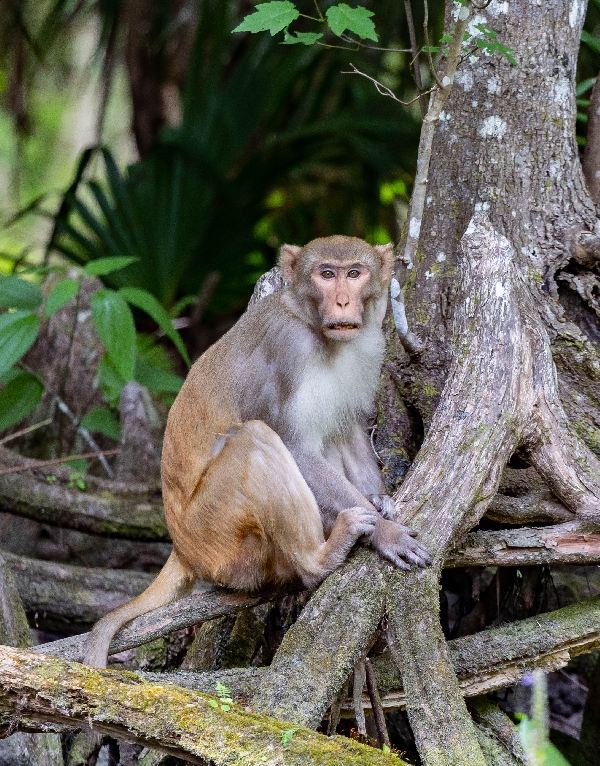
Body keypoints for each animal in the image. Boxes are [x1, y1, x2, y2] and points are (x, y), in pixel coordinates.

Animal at [84, 237, 432, 668]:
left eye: (355, 273)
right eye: (326, 274)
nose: (342, 302)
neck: (313, 328)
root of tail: (182, 549)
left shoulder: (369, 348)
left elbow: (346, 426)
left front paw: (379, 498)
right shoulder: (287, 347)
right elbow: (291, 442)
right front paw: (386, 532)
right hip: (221, 541)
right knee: (255, 441)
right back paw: (317, 559)